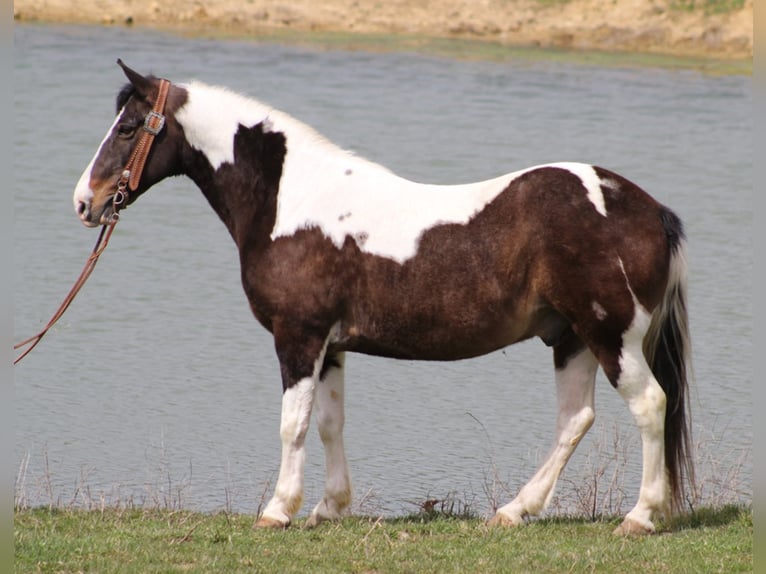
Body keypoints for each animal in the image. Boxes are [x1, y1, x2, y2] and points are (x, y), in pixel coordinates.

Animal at [72, 60, 696, 536]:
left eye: (129, 128)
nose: (85, 202)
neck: (292, 199)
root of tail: (648, 209)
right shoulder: (331, 345)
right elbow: (329, 421)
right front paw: (328, 508)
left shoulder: (298, 336)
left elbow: (292, 423)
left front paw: (278, 511)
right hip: (572, 338)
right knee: (575, 420)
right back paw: (514, 511)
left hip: (611, 337)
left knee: (649, 405)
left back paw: (639, 518)